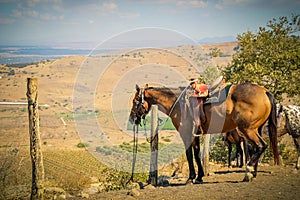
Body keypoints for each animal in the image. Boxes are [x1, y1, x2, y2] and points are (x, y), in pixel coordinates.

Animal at [129, 83, 278, 183]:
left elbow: (190, 155)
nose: (132, 119)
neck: (177, 102)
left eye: (135, 101)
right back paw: (253, 173)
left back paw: (248, 173)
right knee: (256, 148)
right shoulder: (194, 134)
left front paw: (191, 178)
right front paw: (199, 176)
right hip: (255, 129)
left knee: (261, 146)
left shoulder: (186, 133)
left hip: (248, 130)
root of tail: (265, 91)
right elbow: (196, 153)